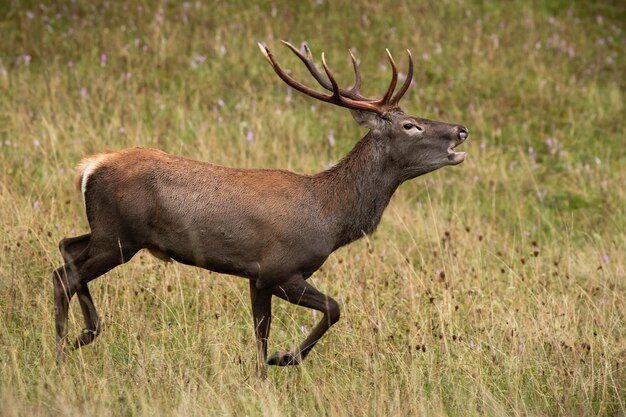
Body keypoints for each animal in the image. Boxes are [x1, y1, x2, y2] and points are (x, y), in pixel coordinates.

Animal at [53, 39, 466, 376]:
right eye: (410, 125)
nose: (461, 130)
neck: (330, 215)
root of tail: (88, 167)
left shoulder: (255, 275)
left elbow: (260, 330)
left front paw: (263, 372)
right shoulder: (278, 268)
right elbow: (330, 309)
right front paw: (282, 360)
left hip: (107, 232)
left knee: (66, 247)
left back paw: (83, 334)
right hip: (120, 235)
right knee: (65, 275)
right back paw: (61, 351)